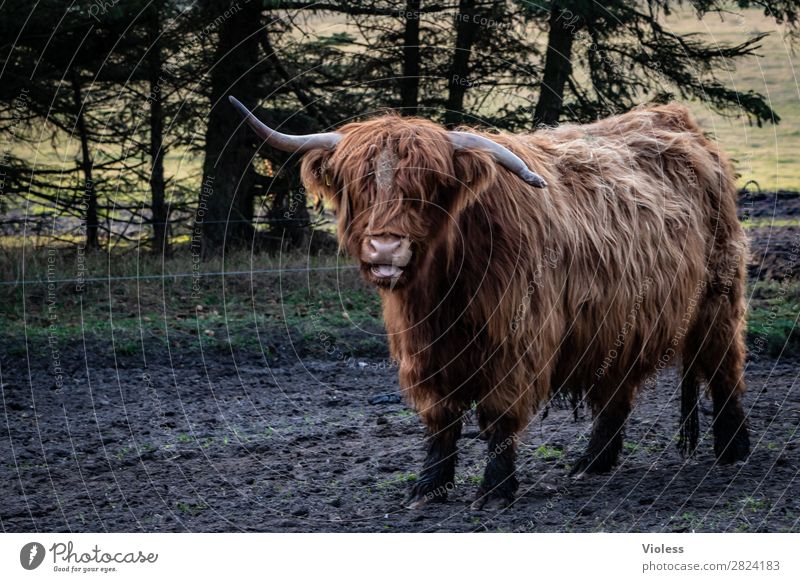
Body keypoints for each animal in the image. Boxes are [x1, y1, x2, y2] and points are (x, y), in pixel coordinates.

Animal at [231, 98, 752, 512]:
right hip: (620, 320)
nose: (384, 247)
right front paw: (428, 488)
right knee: (616, 389)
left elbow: (498, 416)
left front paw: (495, 490)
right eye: (357, 186)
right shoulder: (423, 351)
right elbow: (440, 420)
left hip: (717, 298)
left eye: (428, 187)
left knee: (724, 367)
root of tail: (676, 119)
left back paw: (734, 450)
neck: (443, 295)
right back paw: (592, 463)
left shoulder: (516, 342)